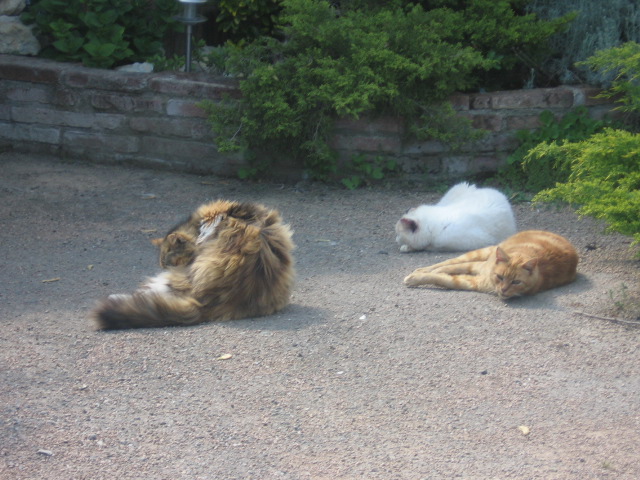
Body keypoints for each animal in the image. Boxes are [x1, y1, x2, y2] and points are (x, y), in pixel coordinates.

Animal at [404, 230, 580, 300]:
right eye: (500, 277)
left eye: (516, 282)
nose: (504, 290)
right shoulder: (476, 266)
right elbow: (447, 268)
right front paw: (420, 274)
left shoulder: (470, 282)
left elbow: (443, 278)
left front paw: (415, 278)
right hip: (482, 252)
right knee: (449, 261)